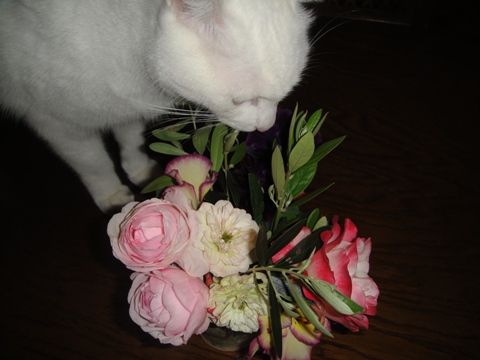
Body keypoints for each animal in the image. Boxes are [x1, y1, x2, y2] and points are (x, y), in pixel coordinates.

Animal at [0, 0, 314, 212]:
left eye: (283, 95)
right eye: (241, 100)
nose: (266, 125)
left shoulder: (127, 105)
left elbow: (130, 138)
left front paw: (139, 170)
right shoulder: (57, 124)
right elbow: (93, 163)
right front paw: (111, 194)